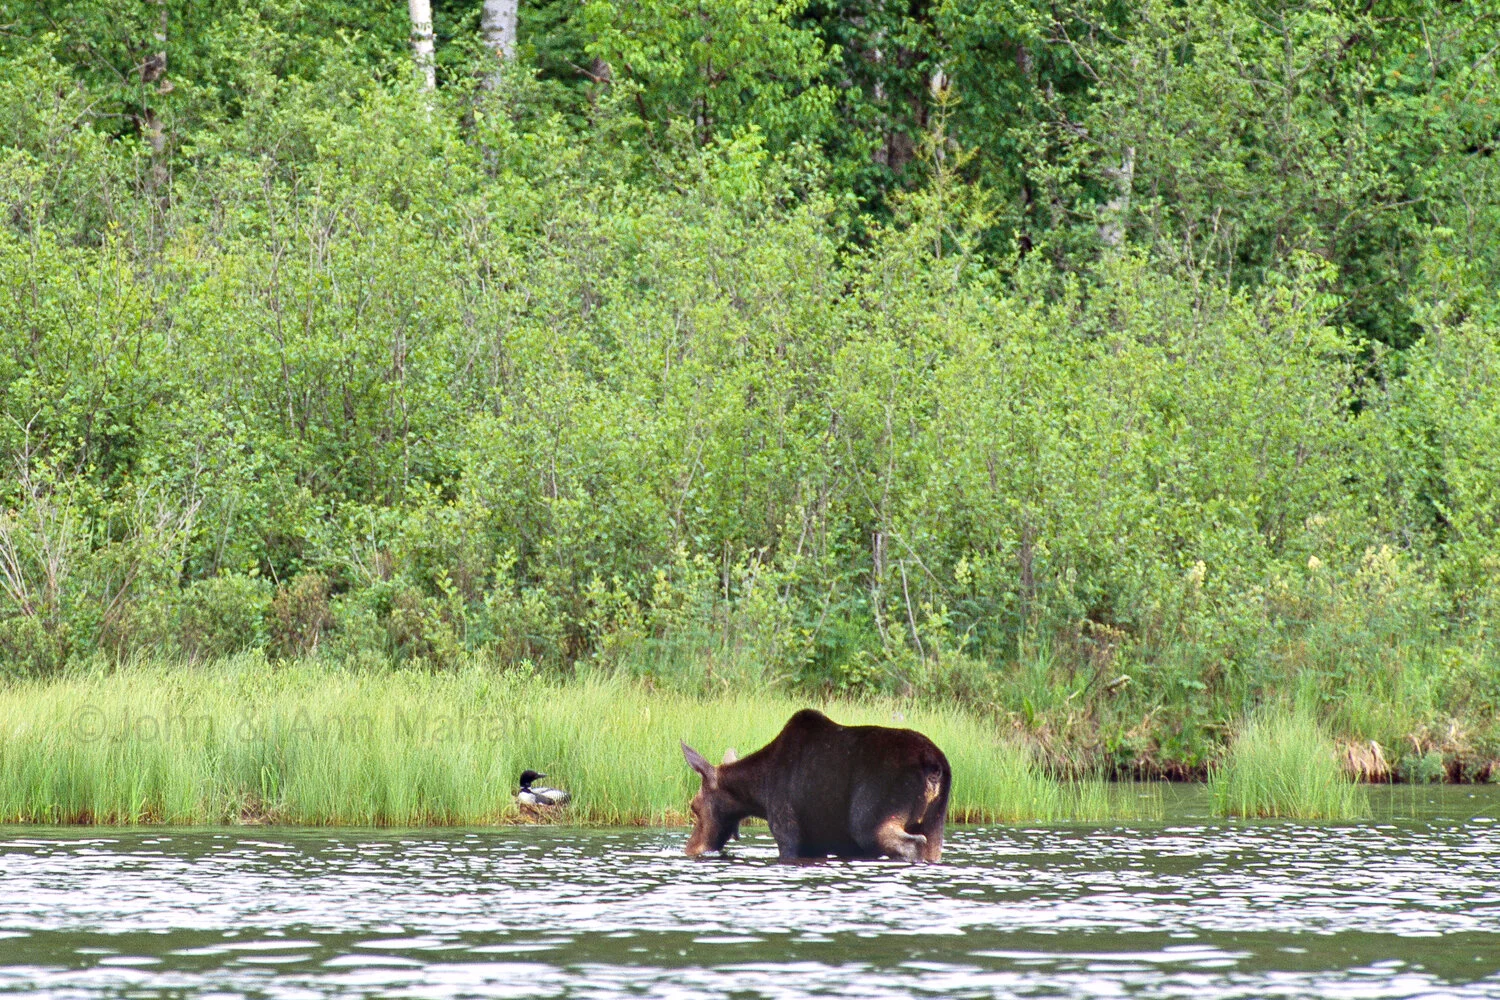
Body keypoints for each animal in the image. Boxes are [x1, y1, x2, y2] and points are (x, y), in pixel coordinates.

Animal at [680, 708, 951, 862]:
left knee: (911, 845)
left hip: (870, 821)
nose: (690, 848)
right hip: (934, 823)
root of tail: (934, 765)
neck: (758, 794)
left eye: (694, 806)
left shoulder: (788, 833)